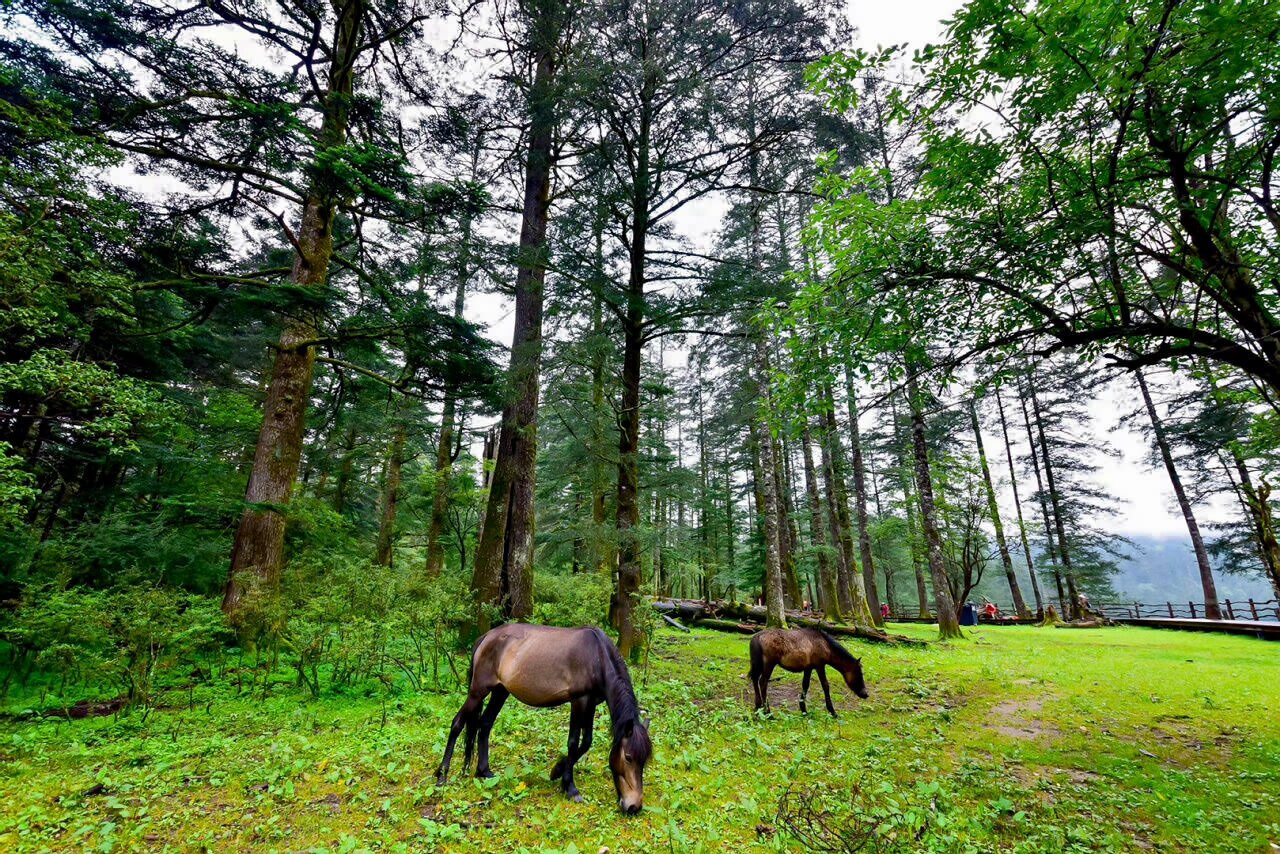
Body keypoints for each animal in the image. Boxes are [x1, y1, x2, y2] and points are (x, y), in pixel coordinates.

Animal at [435, 622, 650, 814]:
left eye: (644, 760)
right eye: (628, 757)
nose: (634, 806)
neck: (596, 656)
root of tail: (486, 637)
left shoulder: (591, 703)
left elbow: (586, 742)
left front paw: (557, 771)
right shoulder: (579, 701)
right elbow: (574, 743)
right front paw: (570, 787)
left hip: (500, 691)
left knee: (485, 724)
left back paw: (484, 771)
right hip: (478, 691)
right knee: (457, 724)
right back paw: (441, 775)